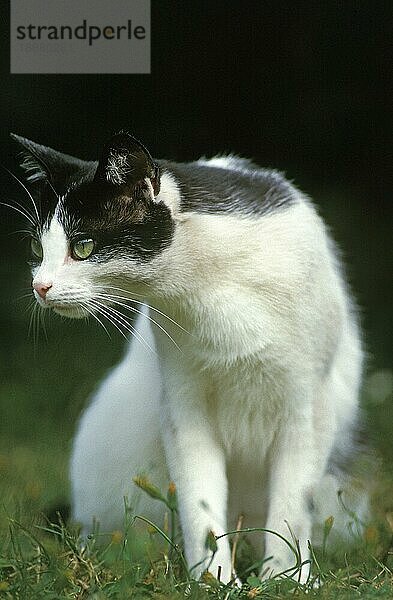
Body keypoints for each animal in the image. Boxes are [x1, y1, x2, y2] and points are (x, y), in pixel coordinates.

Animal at [12, 132, 368, 584]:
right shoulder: (185, 407)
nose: (39, 286)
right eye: (36, 246)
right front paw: (215, 579)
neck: (212, 287)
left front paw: (286, 578)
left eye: (84, 245)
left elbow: (292, 505)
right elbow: (200, 500)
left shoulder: (308, 409)